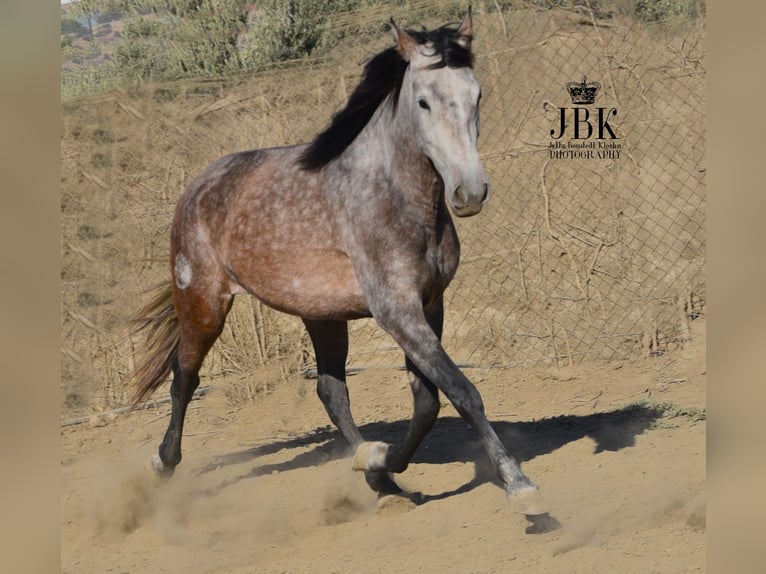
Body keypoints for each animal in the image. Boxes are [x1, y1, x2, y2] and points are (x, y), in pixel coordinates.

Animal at [130, 7, 560, 532]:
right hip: (204, 303)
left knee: (331, 394)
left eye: (477, 94)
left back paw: (380, 480)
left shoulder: (428, 306)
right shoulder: (396, 311)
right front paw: (523, 491)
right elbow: (462, 391)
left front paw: (378, 462)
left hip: (322, 316)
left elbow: (427, 402)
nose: (470, 192)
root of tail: (198, 186)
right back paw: (162, 466)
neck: (396, 197)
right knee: (184, 379)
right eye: (422, 102)